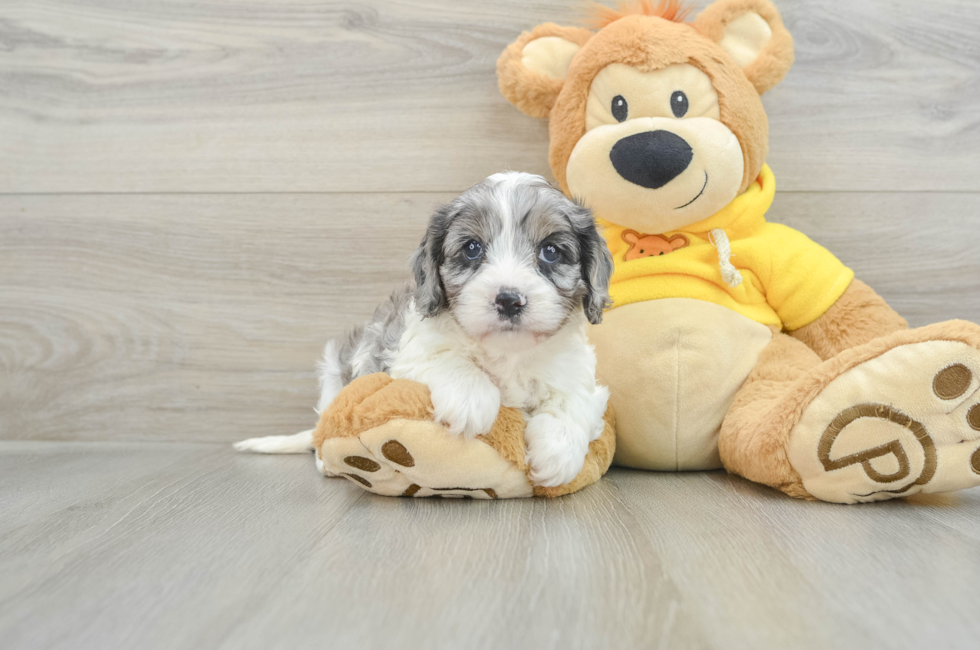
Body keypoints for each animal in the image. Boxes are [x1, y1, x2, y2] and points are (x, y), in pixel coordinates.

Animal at [236, 172, 612, 486]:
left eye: (550, 251)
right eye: (472, 248)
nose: (508, 299)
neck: (507, 353)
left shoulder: (578, 376)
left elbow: (572, 403)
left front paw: (558, 454)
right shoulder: (404, 353)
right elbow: (447, 359)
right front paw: (471, 399)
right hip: (334, 372)